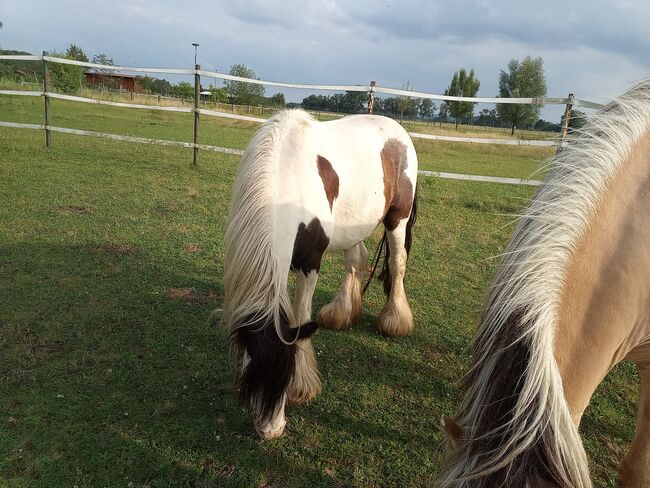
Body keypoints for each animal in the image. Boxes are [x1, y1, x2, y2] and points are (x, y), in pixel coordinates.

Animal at [221, 108, 416, 440]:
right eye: (254, 374)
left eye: (285, 374)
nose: (270, 430)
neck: (284, 178)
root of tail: (396, 129)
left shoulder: (309, 263)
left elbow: (300, 316)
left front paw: (302, 386)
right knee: (356, 260)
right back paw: (342, 313)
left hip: (397, 219)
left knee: (397, 263)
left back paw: (395, 320)